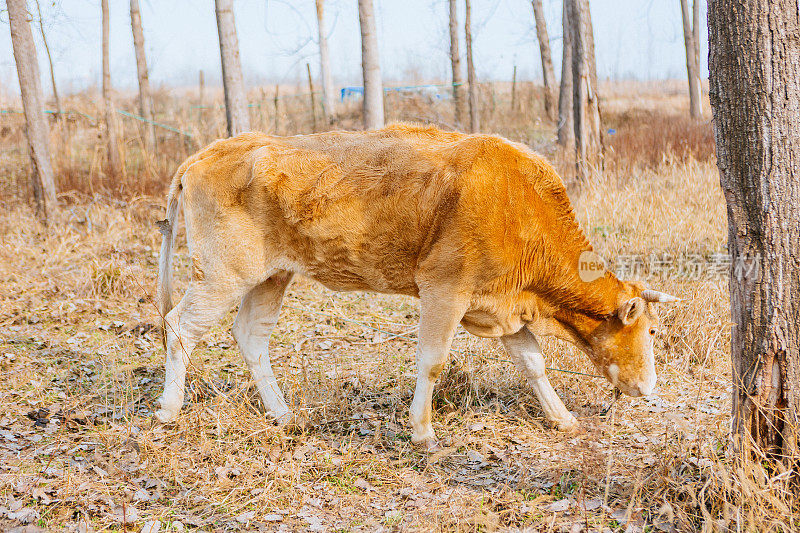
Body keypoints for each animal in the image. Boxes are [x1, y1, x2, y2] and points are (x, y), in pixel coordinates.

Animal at [155, 123, 676, 444]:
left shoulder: (500, 306)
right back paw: (167, 410)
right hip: (223, 274)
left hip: (271, 276)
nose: (651, 388)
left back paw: (283, 414)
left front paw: (562, 418)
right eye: (650, 331)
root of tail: (210, 151)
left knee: (250, 335)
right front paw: (423, 433)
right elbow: (432, 361)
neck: (519, 204)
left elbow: (533, 364)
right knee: (178, 325)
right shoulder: (445, 292)